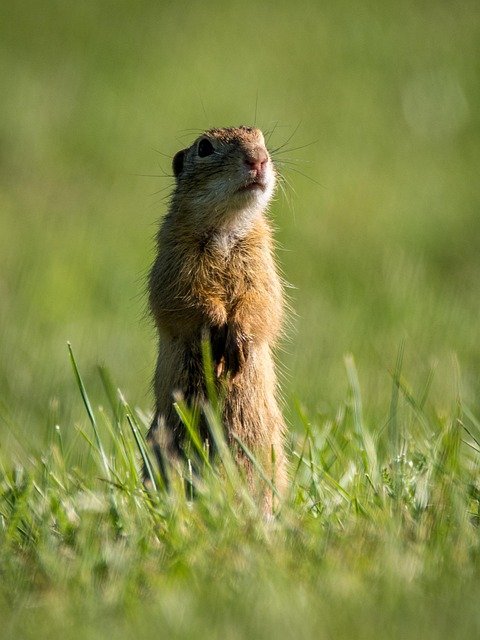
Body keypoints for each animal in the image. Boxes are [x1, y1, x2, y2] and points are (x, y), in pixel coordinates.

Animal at [147, 126, 287, 510]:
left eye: (261, 138)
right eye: (205, 147)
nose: (258, 159)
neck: (226, 228)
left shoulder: (261, 260)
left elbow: (263, 302)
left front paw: (237, 339)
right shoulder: (174, 259)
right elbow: (184, 299)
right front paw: (214, 325)